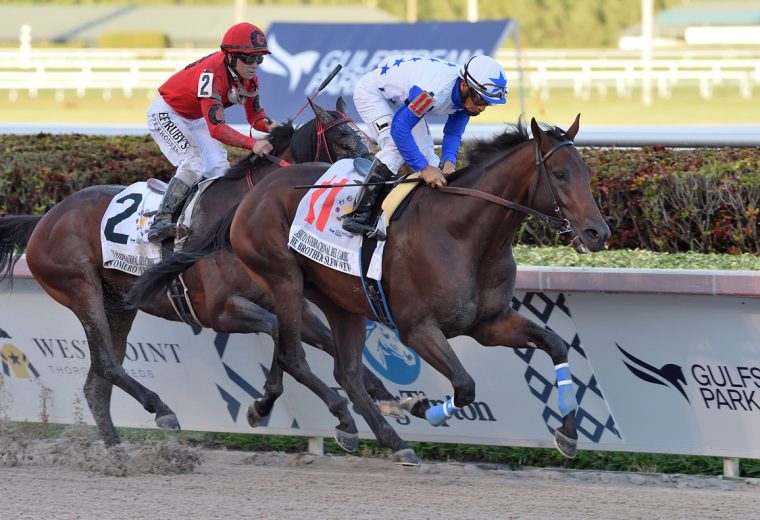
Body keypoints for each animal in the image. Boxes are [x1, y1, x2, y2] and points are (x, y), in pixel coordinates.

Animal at [0, 99, 406, 448]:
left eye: (367, 137)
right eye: (343, 140)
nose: (378, 183)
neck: (239, 214)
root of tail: (45, 219)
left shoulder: (285, 298)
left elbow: (322, 341)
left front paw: (390, 399)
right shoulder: (220, 310)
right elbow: (280, 337)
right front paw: (290, 408)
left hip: (118, 304)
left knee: (95, 384)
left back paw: (117, 452)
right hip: (82, 292)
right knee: (105, 363)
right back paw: (160, 410)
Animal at [132, 116, 612, 466]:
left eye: (589, 171)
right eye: (560, 173)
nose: (598, 233)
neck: (463, 232)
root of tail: (255, 193)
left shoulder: (489, 322)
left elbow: (555, 344)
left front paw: (568, 434)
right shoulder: (417, 327)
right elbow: (464, 386)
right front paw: (425, 408)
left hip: (340, 301)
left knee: (343, 370)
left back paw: (381, 434)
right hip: (283, 280)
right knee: (292, 352)